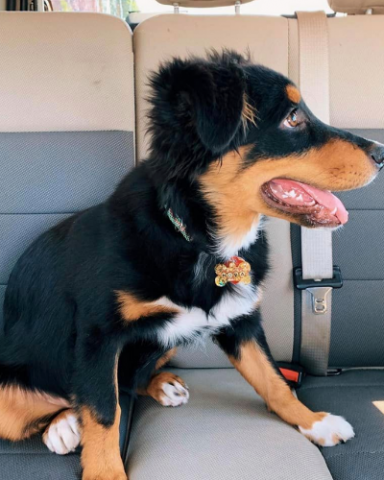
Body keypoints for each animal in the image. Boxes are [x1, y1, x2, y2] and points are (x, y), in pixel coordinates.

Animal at [0, 50, 384, 478]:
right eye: (292, 118)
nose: (382, 153)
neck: (201, 242)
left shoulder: (240, 321)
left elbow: (274, 380)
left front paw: (316, 422)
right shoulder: (98, 336)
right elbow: (103, 411)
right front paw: (106, 472)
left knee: (126, 382)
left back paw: (156, 387)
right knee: (59, 404)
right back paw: (62, 426)